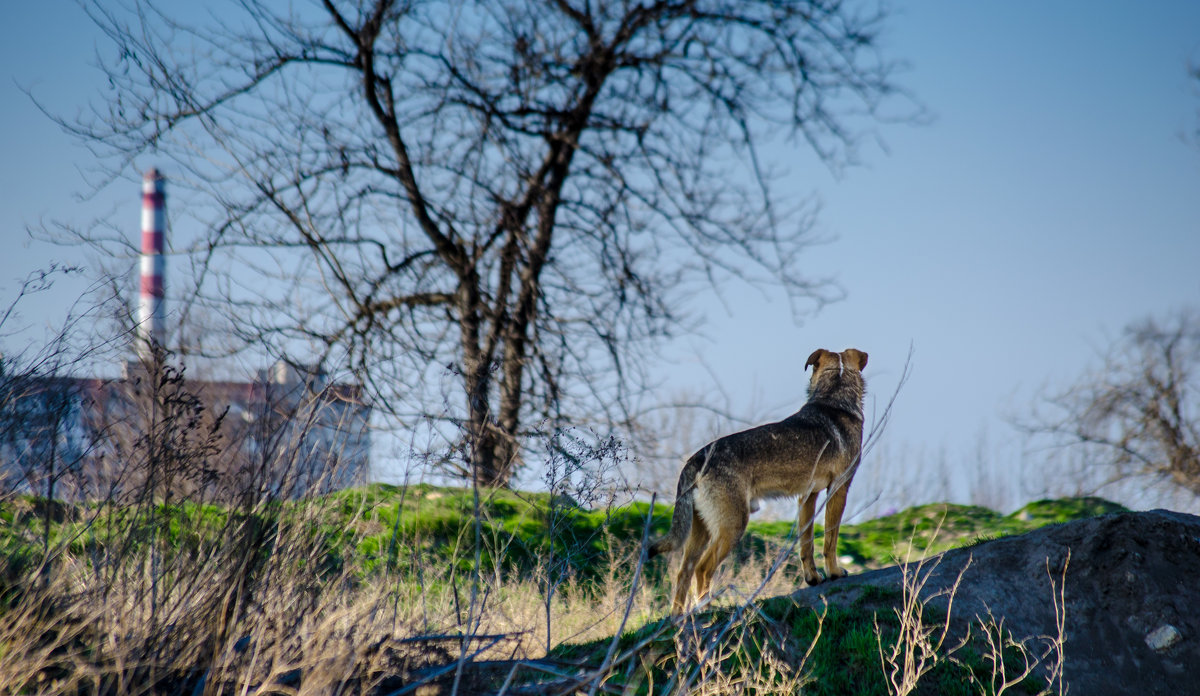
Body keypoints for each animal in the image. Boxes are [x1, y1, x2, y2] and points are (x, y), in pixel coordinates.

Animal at [652, 348, 868, 614]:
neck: (834, 396)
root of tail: (696, 460)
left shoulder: (807, 497)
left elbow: (806, 545)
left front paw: (813, 578)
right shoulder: (839, 488)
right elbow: (830, 540)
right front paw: (835, 573)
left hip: (700, 530)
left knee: (684, 572)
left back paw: (679, 617)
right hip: (733, 526)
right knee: (703, 569)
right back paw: (706, 607)